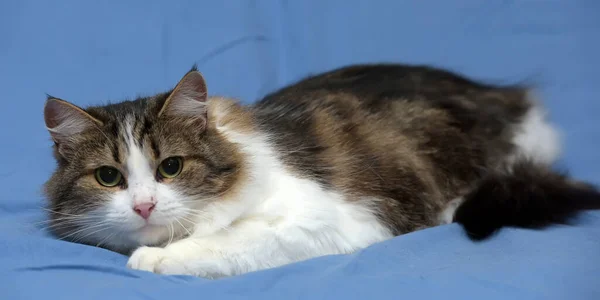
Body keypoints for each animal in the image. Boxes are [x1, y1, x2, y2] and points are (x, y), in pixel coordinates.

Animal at [43, 63, 600, 278]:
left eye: (171, 167)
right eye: (109, 178)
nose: (143, 205)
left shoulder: (329, 219)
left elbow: (231, 241)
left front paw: (157, 259)